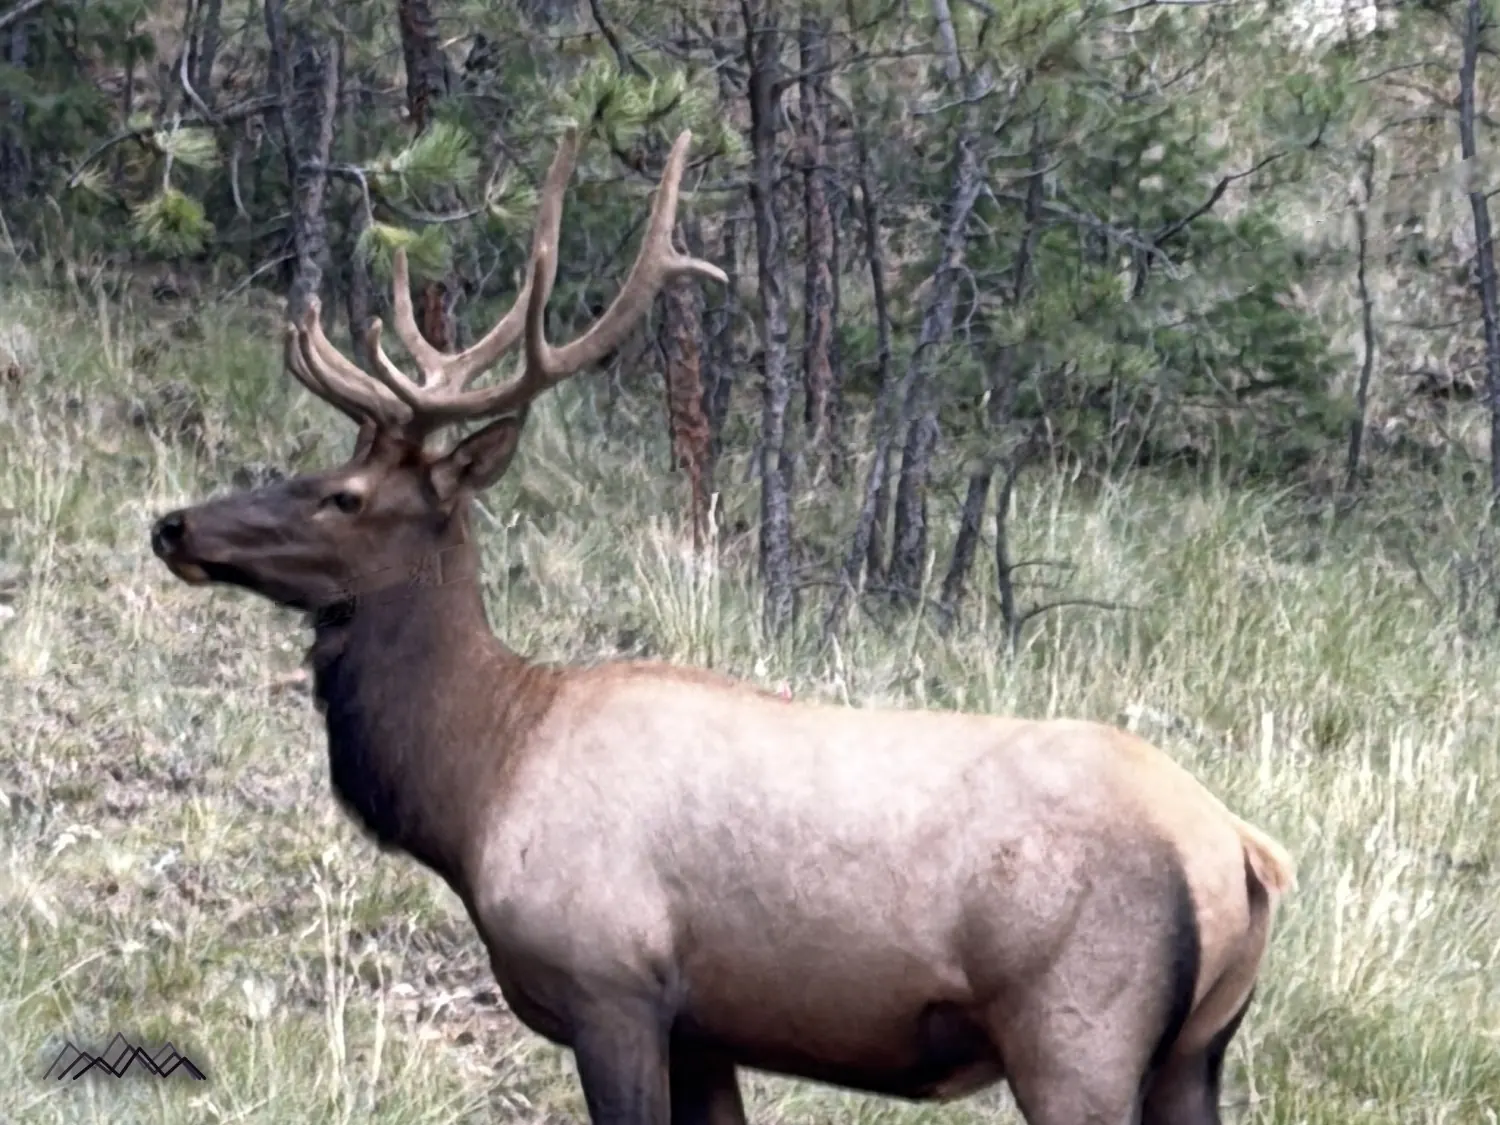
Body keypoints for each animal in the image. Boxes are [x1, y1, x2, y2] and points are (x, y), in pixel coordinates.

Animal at [149, 127, 1296, 1125]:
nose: (173, 524)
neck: (477, 786)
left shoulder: (612, 983)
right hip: (1195, 1053)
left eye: (341, 495)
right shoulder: (706, 1028)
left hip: (1074, 1029)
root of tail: (1243, 852)